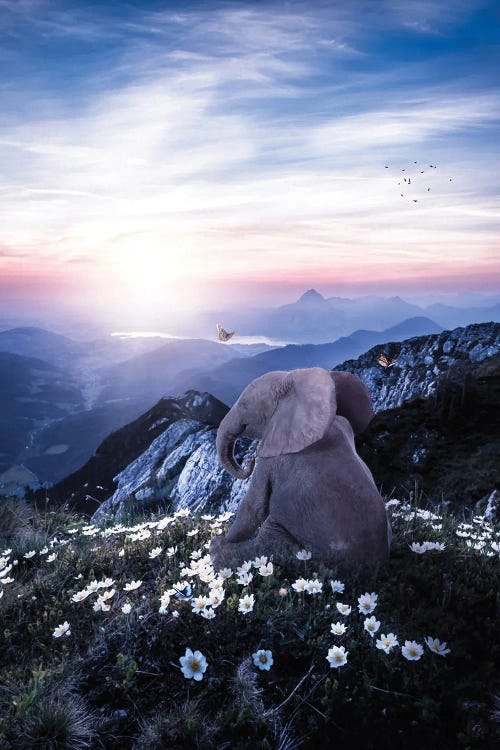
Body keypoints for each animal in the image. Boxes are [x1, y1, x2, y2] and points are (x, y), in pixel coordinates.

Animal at [210, 366, 390, 568]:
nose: (249, 462)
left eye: (243, 405)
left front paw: (221, 540)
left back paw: (216, 551)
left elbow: (254, 507)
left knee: (270, 541)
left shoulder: (272, 458)